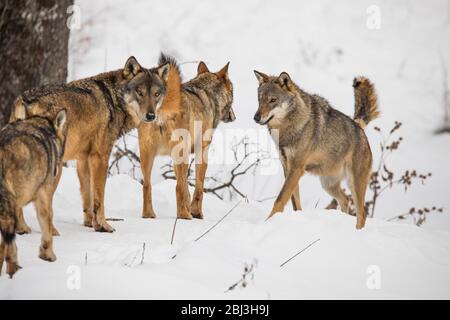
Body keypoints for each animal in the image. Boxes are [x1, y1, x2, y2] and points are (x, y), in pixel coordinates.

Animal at [10, 56, 171, 232]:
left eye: (156, 94)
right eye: (140, 92)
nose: (151, 116)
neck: (114, 100)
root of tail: (26, 100)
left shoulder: (83, 159)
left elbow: (88, 196)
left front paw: (90, 224)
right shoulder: (100, 157)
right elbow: (99, 197)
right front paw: (103, 226)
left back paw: (23, 229)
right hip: (55, 168)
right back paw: (50, 232)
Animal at [139, 54, 234, 220]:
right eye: (233, 91)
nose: (234, 116)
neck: (207, 93)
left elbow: (187, 189)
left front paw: (190, 208)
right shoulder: (202, 150)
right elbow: (199, 186)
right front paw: (196, 212)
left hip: (147, 156)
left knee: (147, 185)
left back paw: (149, 215)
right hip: (179, 155)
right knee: (178, 187)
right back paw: (184, 215)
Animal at [255, 71, 378, 229]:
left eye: (272, 100)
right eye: (260, 99)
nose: (256, 117)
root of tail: (359, 126)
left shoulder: (296, 169)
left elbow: (280, 199)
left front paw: (268, 222)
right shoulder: (287, 168)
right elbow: (295, 202)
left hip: (354, 184)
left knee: (361, 215)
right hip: (328, 185)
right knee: (345, 200)